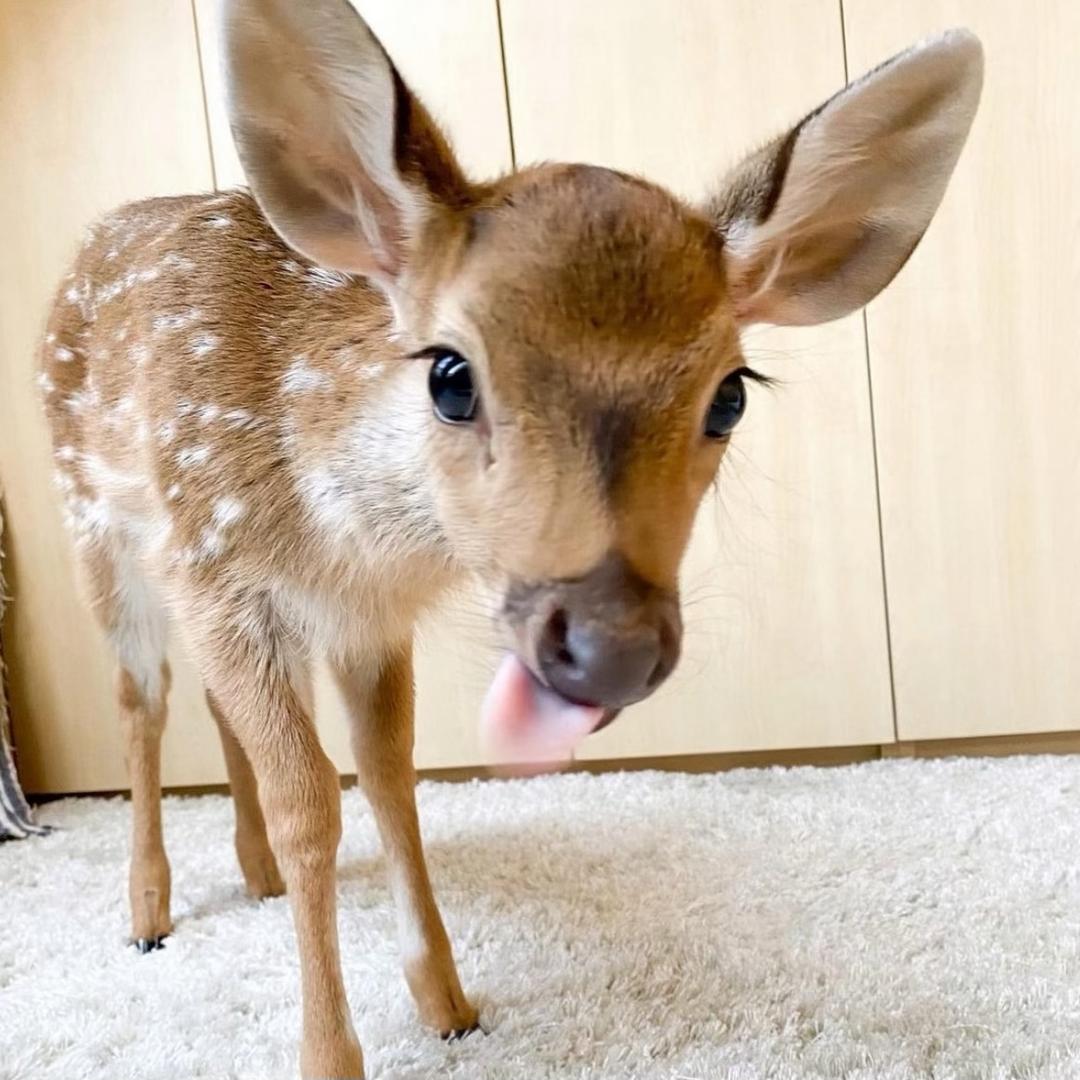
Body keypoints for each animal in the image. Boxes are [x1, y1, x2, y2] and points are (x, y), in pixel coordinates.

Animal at [37, 0, 982, 1075]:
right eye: (451, 373)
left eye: (730, 396)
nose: (611, 649)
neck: (344, 537)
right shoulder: (220, 567)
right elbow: (309, 804)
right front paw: (329, 1053)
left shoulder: (364, 620)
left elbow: (391, 780)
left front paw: (448, 1002)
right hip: (98, 529)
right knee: (139, 701)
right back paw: (147, 914)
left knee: (207, 703)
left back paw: (251, 876)